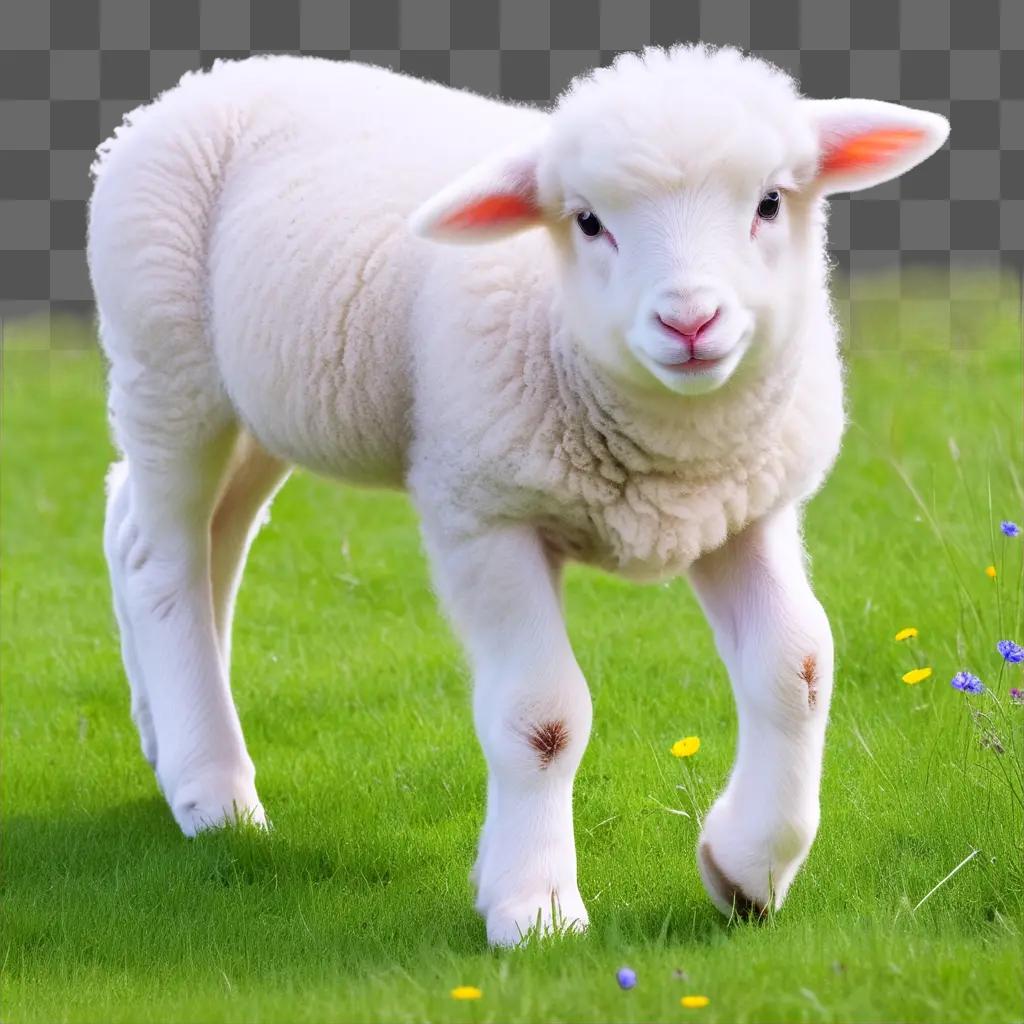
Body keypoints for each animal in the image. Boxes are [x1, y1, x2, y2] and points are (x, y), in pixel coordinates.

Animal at [86, 44, 942, 946]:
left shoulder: (743, 508)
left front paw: (749, 869)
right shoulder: (485, 513)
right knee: (157, 559)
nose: (690, 322)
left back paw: (168, 739)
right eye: (588, 221)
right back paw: (212, 786)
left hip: (262, 402)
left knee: (179, 532)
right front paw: (535, 909)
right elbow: (543, 717)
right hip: (166, 360)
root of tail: (201, 82)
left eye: (770, 201)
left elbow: (797, 666)